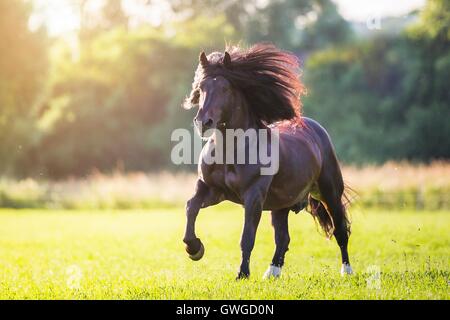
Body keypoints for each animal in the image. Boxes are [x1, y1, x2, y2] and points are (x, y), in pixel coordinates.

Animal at [180, 43, 352, 278]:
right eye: (201, 87)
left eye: (225, 88)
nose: (203, 122)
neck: (232, 151)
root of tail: (316, 129)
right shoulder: (211, 190)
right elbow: (191, 208)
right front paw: (195, 248)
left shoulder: (253, 196)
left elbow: (247, 237)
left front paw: (242, 274)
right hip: (281, 204)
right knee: (283, 238)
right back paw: (271, 273)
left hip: (329, 193)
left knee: (340, 230)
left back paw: (347, 270)